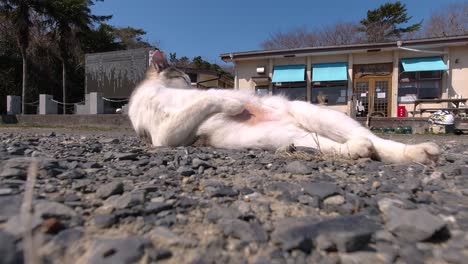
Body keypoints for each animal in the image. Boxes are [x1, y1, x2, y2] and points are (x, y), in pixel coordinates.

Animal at [127, 49, 438, 164]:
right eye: (184, 77)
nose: (192, 85)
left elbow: (208, 97)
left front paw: (233, 98)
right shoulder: (164, 136)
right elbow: (204, 102)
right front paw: (233, 101)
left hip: (313, 113)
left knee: (376, 140)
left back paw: (417, 152)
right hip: (287, 136)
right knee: (341, 145)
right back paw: (359, 150)